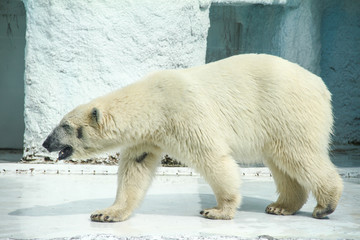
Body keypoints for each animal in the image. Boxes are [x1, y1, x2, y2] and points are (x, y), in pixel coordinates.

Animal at [43, 54, 344, 221]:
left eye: (64, 126)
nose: (46, 143)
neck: (154, 102)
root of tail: (321, 85)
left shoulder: (184, 113)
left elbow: (212, 157)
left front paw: (218, 210)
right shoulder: (147, 137)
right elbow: (135, 168)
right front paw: (106, 213)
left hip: (287, 110)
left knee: (299, 154)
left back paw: (325, 205)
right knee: (282, 162)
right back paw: (282, 206)